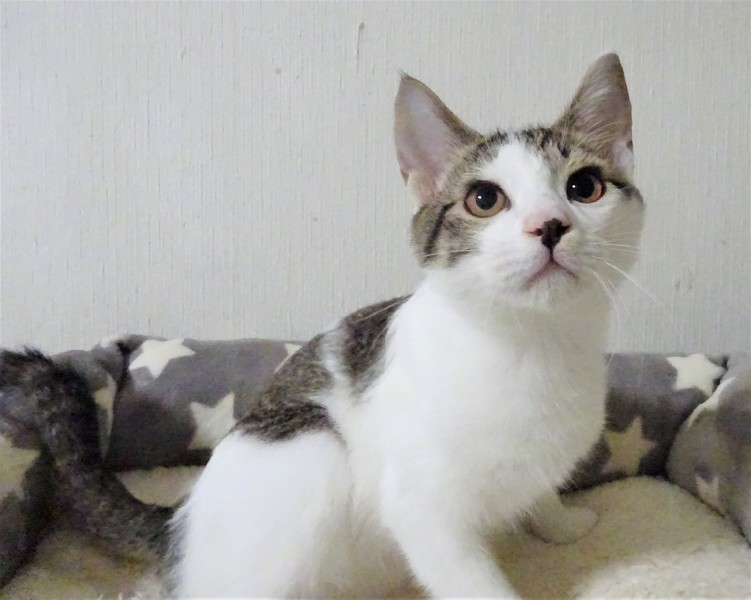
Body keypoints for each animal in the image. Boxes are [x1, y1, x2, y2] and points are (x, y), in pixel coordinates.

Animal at [1, 53, 643, 598]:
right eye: (484, 199)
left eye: (584, 187)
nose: (550, 225)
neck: (533, 344)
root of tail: (180, 523)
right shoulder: (423, 509)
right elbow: (470, 578)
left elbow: (539, 490)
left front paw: (560, 522)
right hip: (310, 448)